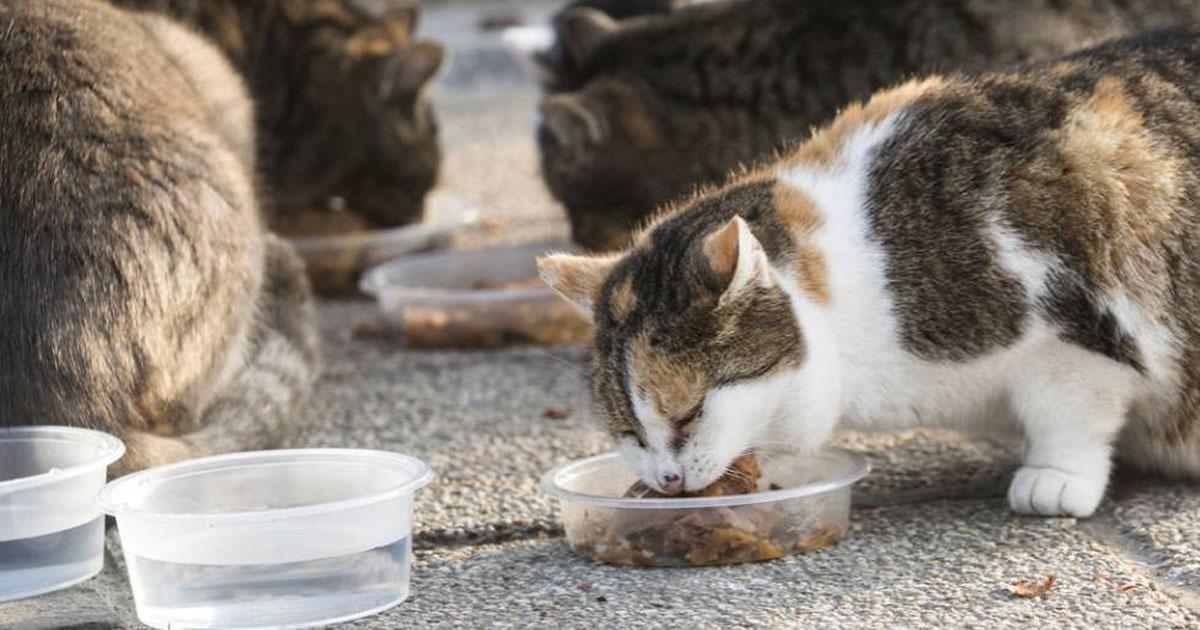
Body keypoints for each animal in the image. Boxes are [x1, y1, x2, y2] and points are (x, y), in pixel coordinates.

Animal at [542, 30, 1200, 516]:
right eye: (627, 429)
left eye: (689, 412)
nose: (668, 480)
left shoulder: (1070, 332)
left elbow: (1071, 413)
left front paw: (1055, 478)